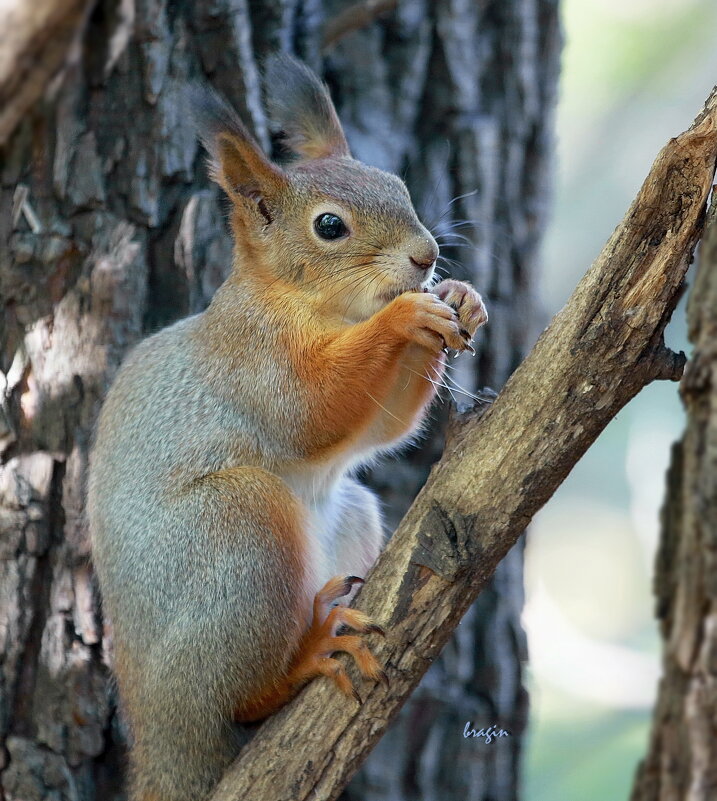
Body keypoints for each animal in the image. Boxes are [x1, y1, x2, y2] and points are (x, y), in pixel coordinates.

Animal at [85, 54, 486, 800]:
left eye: (398, 186)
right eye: (329, 227)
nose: (425, 256)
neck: (313, 304)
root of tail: (161, 739)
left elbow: (381, 429)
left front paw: (460, 297)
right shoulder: (254, 361)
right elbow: (312, 411)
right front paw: (403, 316)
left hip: (348, 513)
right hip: (240, 535)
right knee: (241, 696)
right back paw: (309, 653)